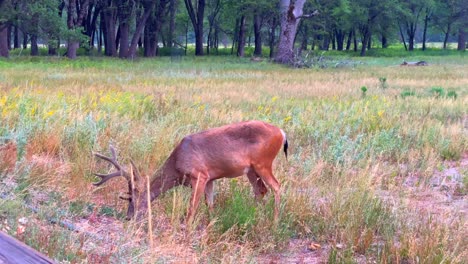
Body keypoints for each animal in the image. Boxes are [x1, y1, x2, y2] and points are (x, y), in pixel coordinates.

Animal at [92, 120, 288, 224]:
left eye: (133, 198)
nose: (128, 217)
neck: (177, 165)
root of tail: (282, 132)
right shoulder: (210, 178)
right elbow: (210, 204)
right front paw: (210, 224)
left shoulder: (199, 175)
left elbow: (191, 208)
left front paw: (188, 229)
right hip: (251, 170)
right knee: (261, 190)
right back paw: (253, 216)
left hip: (263, 163)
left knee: (277, 186)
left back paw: (275, 221)